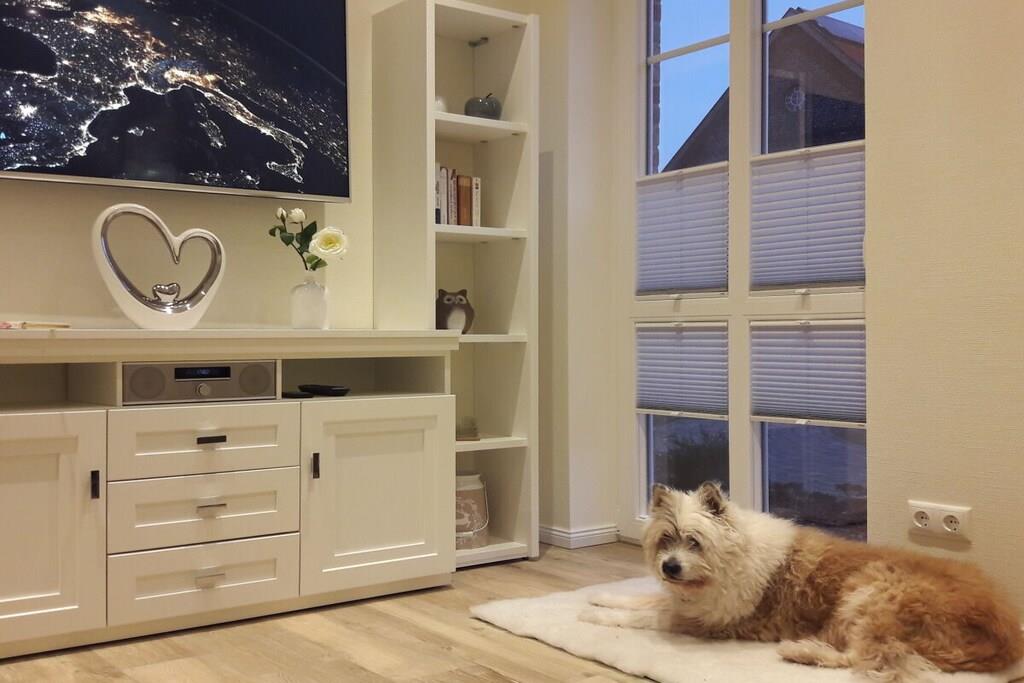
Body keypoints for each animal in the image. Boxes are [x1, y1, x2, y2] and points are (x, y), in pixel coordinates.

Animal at [581, 482, 1023, 682]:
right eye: (665, 540)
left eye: (694, 541)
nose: (670, 568)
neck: (728, 560)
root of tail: (1004, 635)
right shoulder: (690, 604)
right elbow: (641, 600)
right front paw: (599, 598)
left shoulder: (708, 621)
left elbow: (648, 618)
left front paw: (597, 619)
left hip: (872, 594)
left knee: (870, 661)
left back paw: (802, 651)